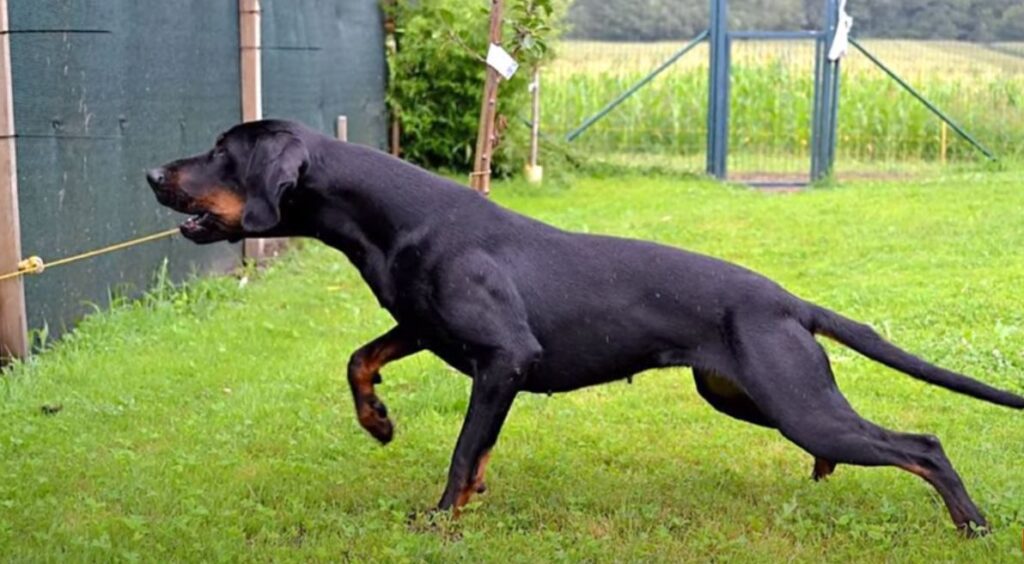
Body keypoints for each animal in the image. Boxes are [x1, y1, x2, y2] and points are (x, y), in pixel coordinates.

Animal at [146, 119, 1024, 532]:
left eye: (222, 152)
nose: (153, 172)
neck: (393, 219)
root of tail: (787, 301)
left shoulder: (504, 357)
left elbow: (463, 449)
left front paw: (440, 519)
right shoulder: (429, 330)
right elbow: (360, 359)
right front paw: (380, 423)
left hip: (797, 404)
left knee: (922, 444)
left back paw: (972, 525)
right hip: (743, 396)